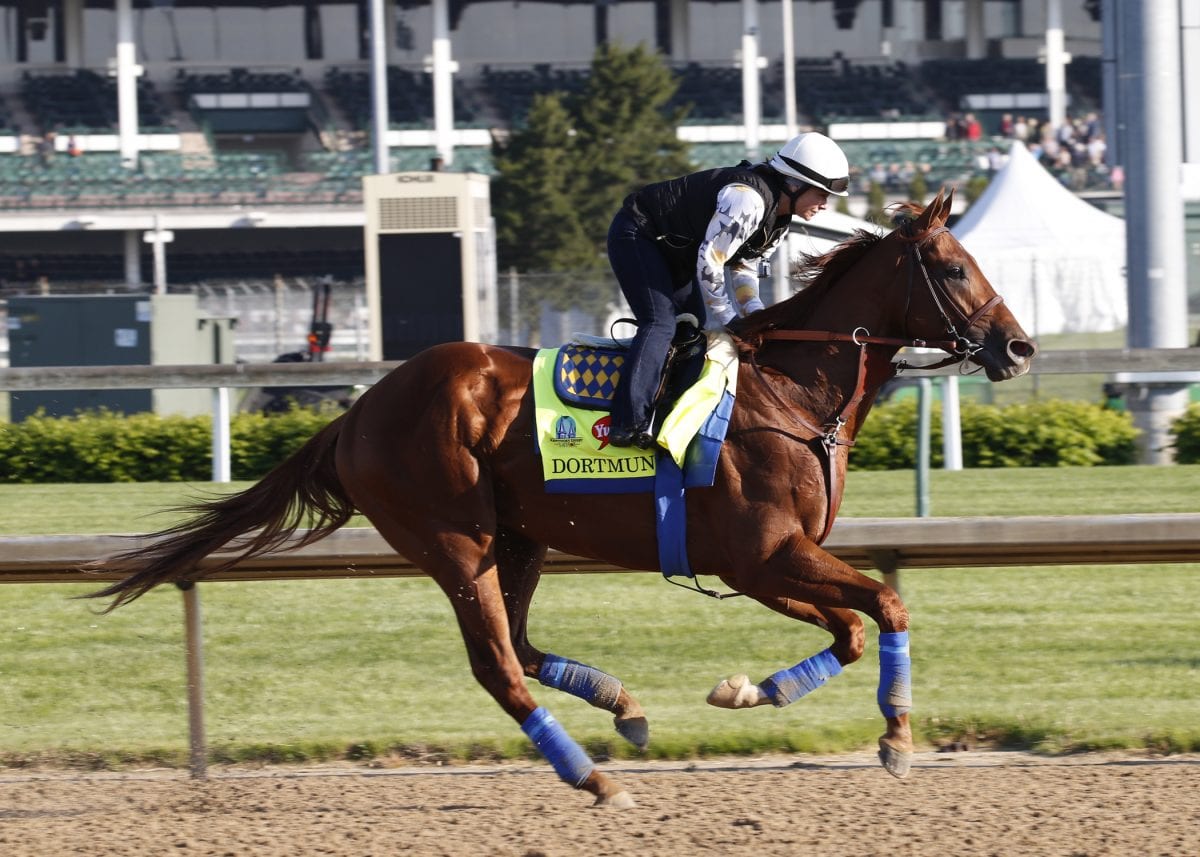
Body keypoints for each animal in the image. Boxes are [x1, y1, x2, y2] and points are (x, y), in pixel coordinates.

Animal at [88, 188, 1036, 806]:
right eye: (952, 266)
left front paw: (745, 691)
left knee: (521, 641)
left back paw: (623, 706)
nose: (1020, 347)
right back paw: (592, 775)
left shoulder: (764, 564)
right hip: (455, 541)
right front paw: (897, 736)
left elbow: (850, 628)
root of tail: (357, 409)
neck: (790, 391)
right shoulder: (765, 551)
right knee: (498, 664)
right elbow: (886, 604)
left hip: (522, 537)